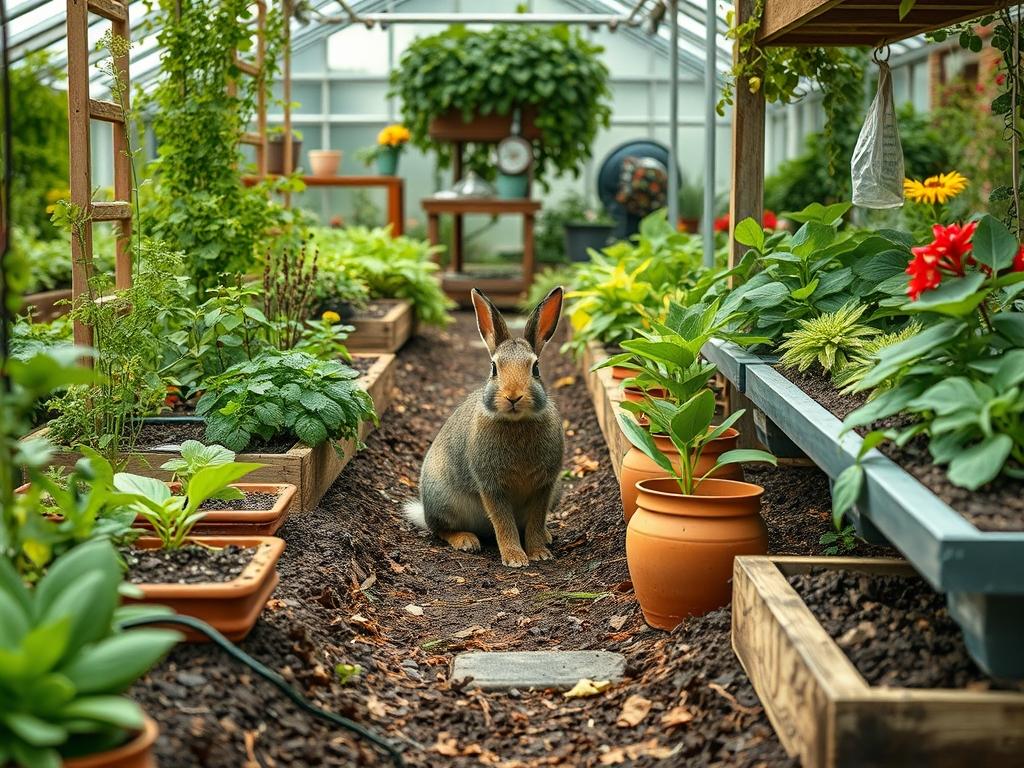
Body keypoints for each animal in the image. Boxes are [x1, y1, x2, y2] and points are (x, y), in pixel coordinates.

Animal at [403, 286, 565, 567]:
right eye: (494, 368)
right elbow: (503, 522)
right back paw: (466, 541)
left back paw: (546, 537)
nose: (513, 396)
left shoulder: (544, 487)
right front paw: (515, 558)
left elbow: (535, 521)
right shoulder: (491, 486)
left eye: (535, 368)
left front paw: (538, 553)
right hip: (442, 499)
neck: (516, 422)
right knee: (440, 529)